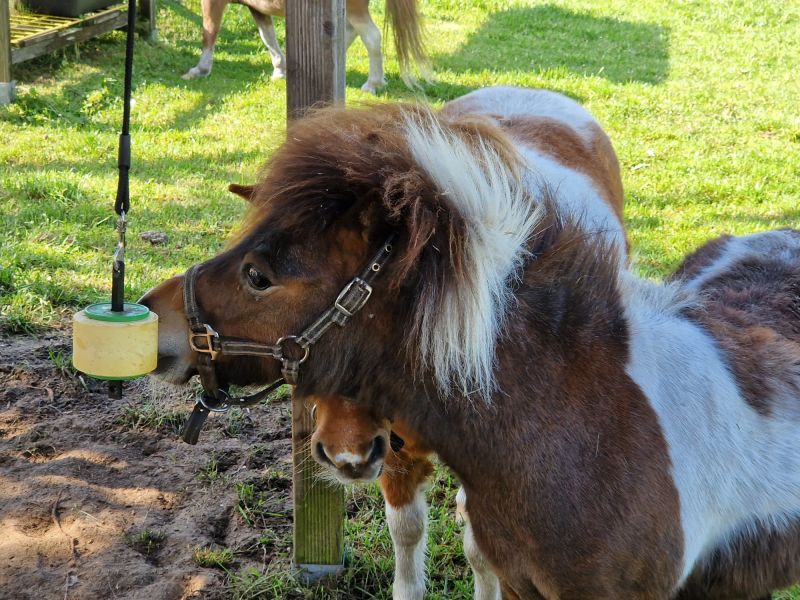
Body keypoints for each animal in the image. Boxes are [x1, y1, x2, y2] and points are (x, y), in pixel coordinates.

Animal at [182, 0, 428, 92]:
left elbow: (209, 32)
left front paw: (199, 70)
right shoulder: (257, 8)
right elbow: (268, 37)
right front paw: (280, 70)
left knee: (371, 37)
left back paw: (372, 83)